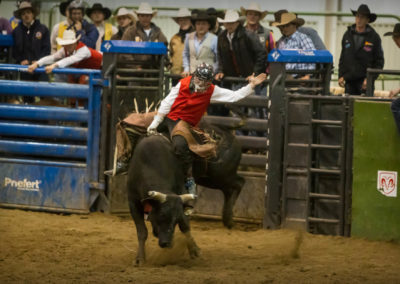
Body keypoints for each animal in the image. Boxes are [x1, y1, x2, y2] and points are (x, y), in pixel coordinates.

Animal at [126, 123, 244, 266]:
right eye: (161, 215)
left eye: (176, 219)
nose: (166, 243)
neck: (149, 163)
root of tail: (234, 140)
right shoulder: (133, 201)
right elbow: (142, 231)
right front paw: (139, 258)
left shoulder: (181, 194)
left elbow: (185, 225)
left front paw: (195, 250)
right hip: (213, 179)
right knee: (230, 189)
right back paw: (228, 218)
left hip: (221, 175)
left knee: (239, 183)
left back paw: (229, 218)